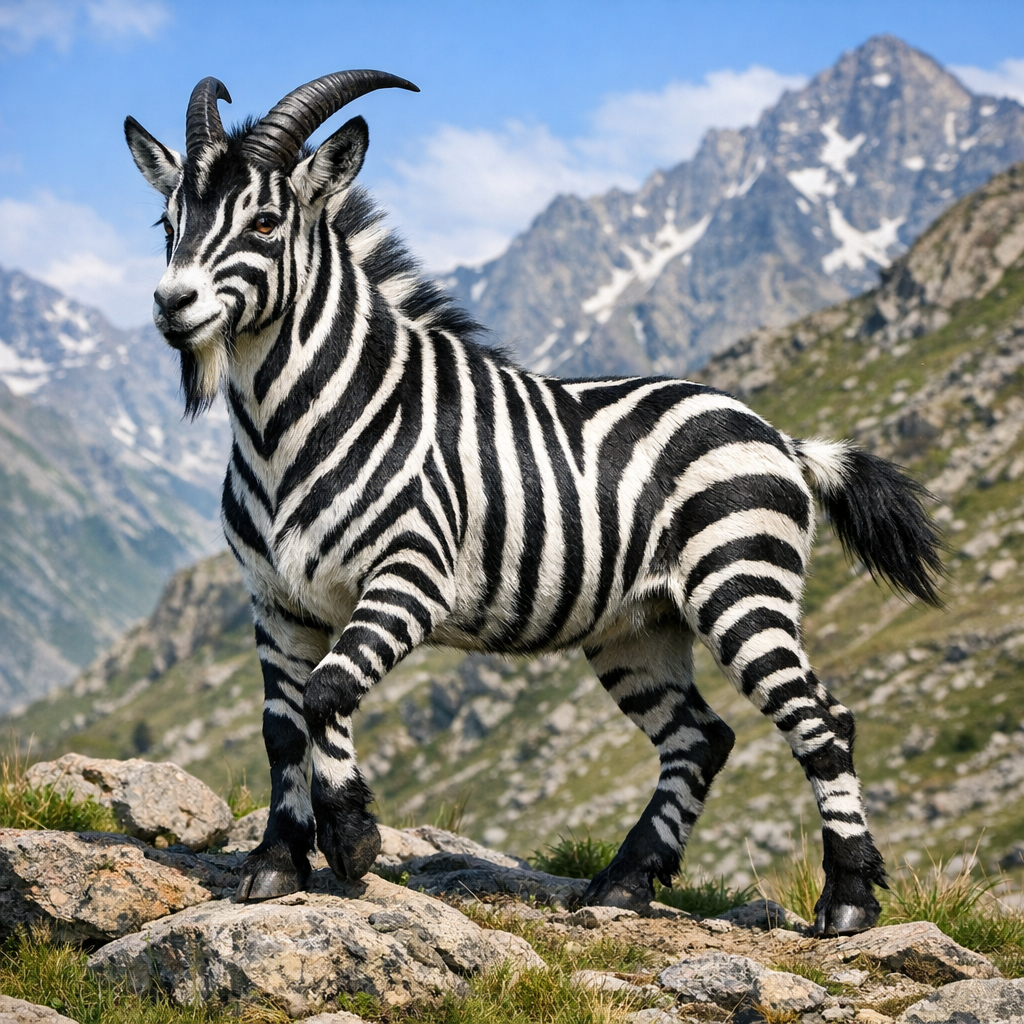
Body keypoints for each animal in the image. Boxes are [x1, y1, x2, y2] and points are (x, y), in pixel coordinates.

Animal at [125, 70, 942, 936]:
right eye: (168, 223)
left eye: (266, 222)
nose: (171, 305)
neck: (292, 428)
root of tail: (777, 434)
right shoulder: (276, 601)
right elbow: (282, 728)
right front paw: (278, 862)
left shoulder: (410, 579)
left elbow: (328, 693)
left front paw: (352, 838)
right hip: (637, 628)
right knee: (700, 738)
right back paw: (624, 883)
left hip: (740, 590)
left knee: (821, 723)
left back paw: (848, 902)